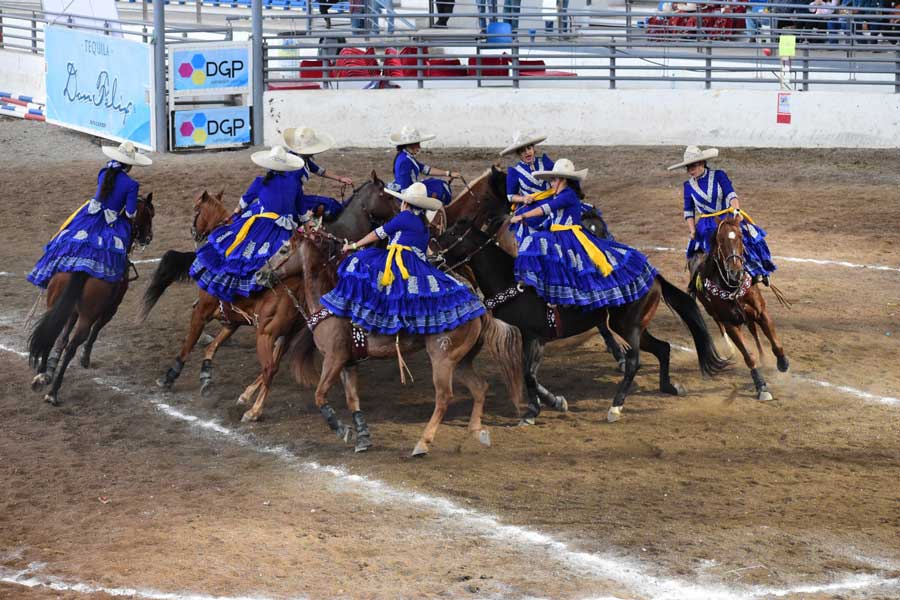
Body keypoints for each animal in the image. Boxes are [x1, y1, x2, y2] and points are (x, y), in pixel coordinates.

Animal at [28, 195, 156, 406]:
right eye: (150, 214)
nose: (149, 237)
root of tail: (82, 268)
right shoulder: (111, 308)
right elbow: (94, 332)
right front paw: (85, 358)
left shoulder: (71, 310)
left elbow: (61, 339)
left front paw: (49, 372)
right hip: (88, 316)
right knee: (73, 345)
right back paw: (53, 392)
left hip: (55, 305)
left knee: (51, 334)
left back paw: (41, 376)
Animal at [142, 173, 396, 396]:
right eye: (387, 195)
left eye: (196, 210)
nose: (195, 232)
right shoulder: (235, 315)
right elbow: (215, 342)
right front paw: (205, 371)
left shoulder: (208, 311)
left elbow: (190, 342)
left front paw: (171, 376)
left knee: (272, 361)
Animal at [256, 232, 524, 458]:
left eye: (283, 249)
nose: (259, 274)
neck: (329, 301)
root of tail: (480, 307)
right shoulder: (348, 363)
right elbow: (352, 399)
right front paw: (363, 438)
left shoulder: (334, 359)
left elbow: (320, 396)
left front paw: (342, 430)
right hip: (461, 361)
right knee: (480, 387)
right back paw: (476, 433)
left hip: (443, 359)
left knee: (444, 397)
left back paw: (422, 443)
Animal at [432, 219, 728, 422]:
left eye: (453, 234)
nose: (432, 253)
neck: (514, 281)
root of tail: (654, 275)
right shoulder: (531, 337)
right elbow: (530, 374)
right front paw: (544, 406)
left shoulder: (535, 336)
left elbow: (529, 375)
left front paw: (545, 406)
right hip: (633, 327)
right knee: (663, 348)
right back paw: (669, 387)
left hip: (629, 327)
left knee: (634, 362)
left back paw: (615, 406)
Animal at [696, 213, 788, 400]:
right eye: (720, 240)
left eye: (740, 236)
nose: (735, 272)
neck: (732, 286)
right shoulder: (731, 323)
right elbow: (748, 356)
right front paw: (761, 386)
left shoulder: (761, 312)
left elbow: (776, 343)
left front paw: (782, 363)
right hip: (714, 313)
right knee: (721, 326)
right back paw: (730, 349)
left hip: (749, 316)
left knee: (754, 332)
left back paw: (764, 357)